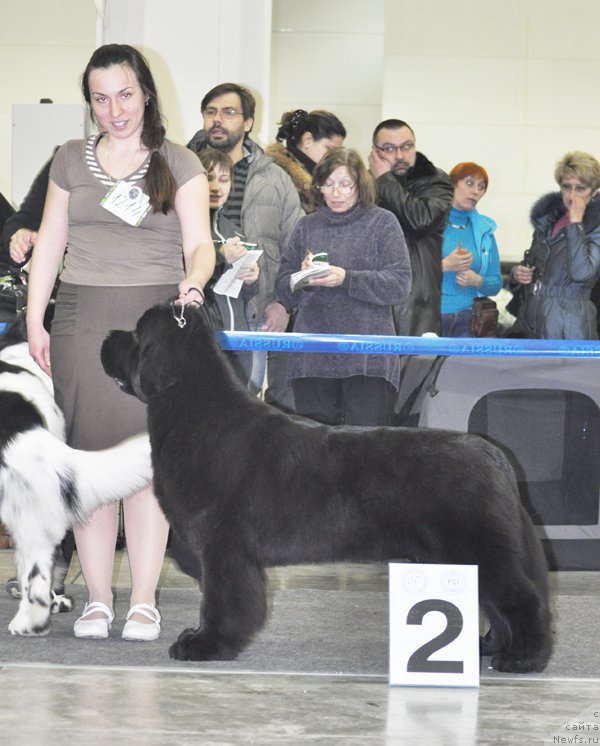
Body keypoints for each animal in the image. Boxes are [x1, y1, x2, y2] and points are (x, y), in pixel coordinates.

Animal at [99, 302, 552, 676]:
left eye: (135, 336)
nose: (106, 336)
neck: (193, 409)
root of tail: (494, 456)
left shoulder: (222, 547)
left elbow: (223, 602)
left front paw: (205, 645)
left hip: (478, 546)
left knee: (522, 599)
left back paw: (523, 658)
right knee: (496, 601)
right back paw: (491, 647)